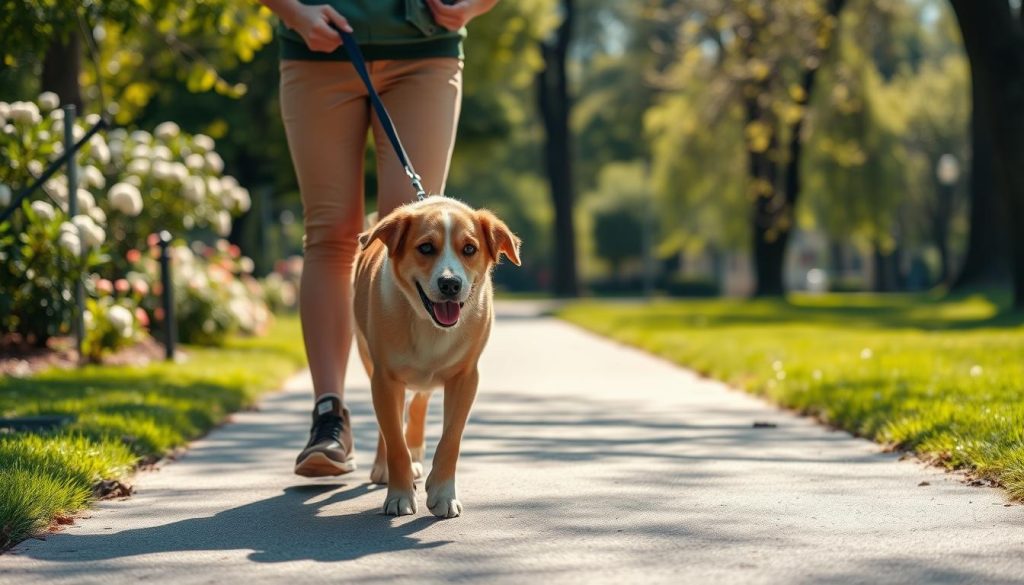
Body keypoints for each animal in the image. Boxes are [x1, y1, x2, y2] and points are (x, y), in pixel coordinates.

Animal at [356, 195, 524, 516]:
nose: (450, 284)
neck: (429, 325)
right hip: (369, 361)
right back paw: (385, 467)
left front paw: (444, 494)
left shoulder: (466, 377)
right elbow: (394, 440)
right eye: (425, 248)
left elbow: (451, 439)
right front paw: (399, 495)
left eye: (469, 249)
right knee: (392, 424)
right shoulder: (384, 379)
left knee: (419, 403)